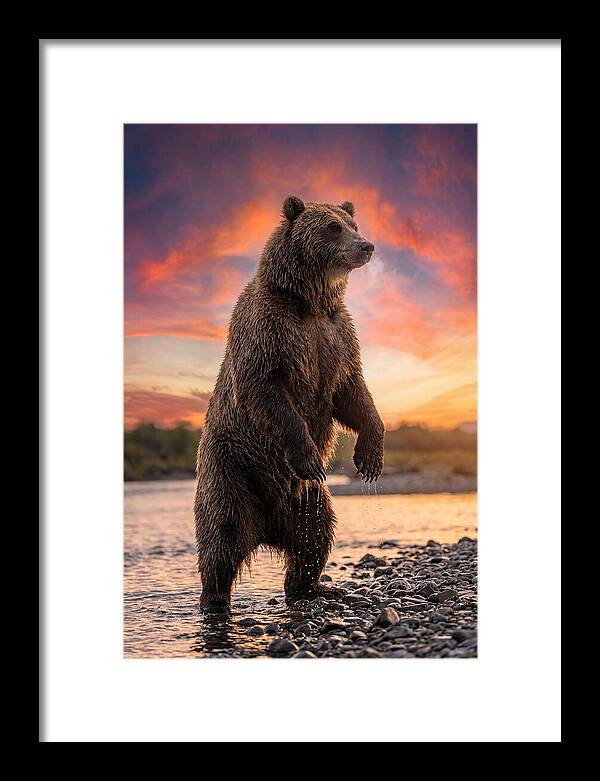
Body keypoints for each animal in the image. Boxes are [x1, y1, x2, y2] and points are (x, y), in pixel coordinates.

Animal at [194, 195, 384, 612]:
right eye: (332, 227)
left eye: (353, 224)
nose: (366, 246)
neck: (309, 301)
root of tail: (265, 527)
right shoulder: (270, 331)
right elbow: (266, 391)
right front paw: (310, 456)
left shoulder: (336, 336)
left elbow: (353, 393)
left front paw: (370, 457)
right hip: (231, 471)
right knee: (221, 538)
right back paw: (214, 600)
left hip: (306, 500)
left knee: (315, 535)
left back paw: (314, 586)